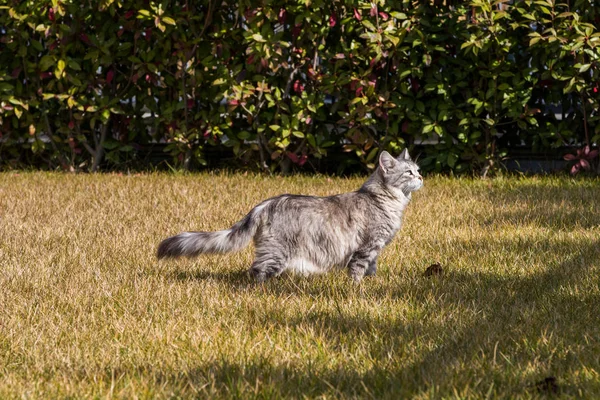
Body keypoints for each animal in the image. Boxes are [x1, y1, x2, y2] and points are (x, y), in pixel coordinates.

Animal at [157, 148, 424, 282]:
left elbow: (372, 269)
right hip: (277, 251)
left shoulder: (375, 249)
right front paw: (356, 290)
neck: (387, 201)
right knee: (256, 271)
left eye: (418, 170)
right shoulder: (366, 246)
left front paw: (372, 285)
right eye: (409, 172)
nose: (422, 177)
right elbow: (357, 271)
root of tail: (265, 204)